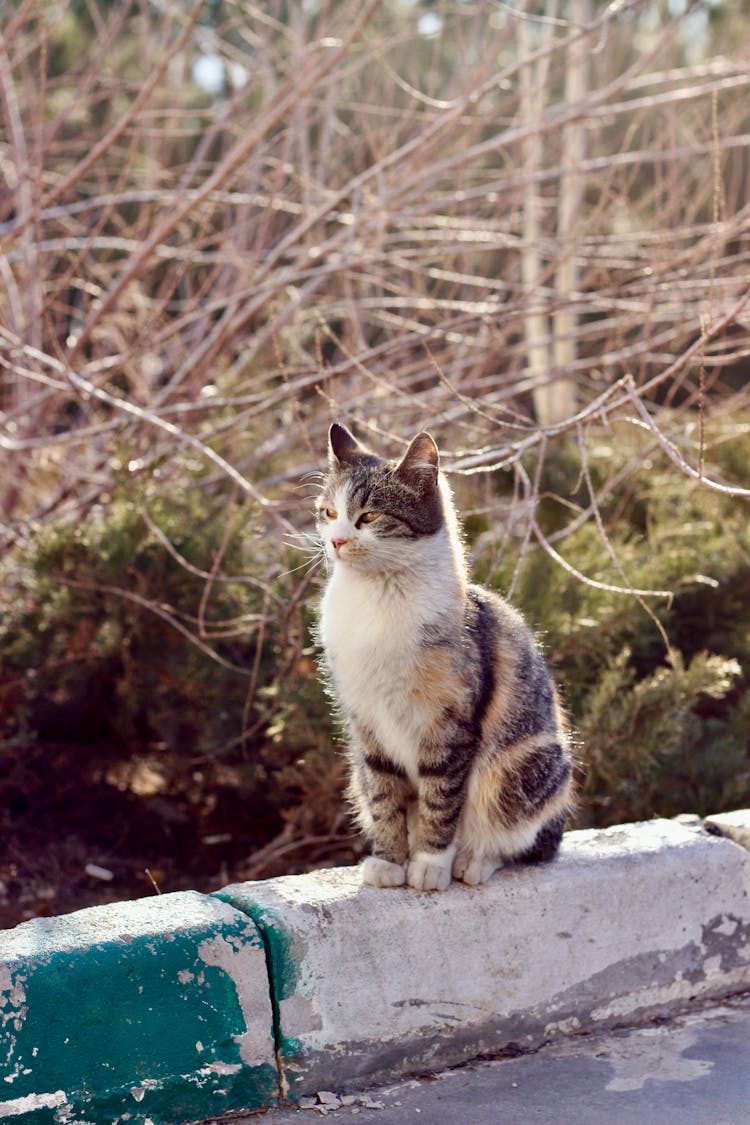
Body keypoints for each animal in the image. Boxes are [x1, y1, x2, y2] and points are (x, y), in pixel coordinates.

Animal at [317, 420, 575, 886]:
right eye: (328, 513)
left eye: (370, 516)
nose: (337, 542)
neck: (378, 596)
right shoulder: (367, 724)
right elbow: (385, 798)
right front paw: (389, 861)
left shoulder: (449, 724)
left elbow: (440, 799)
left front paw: (430, 865)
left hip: (526, 764)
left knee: (525, 842)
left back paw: (473, 861)